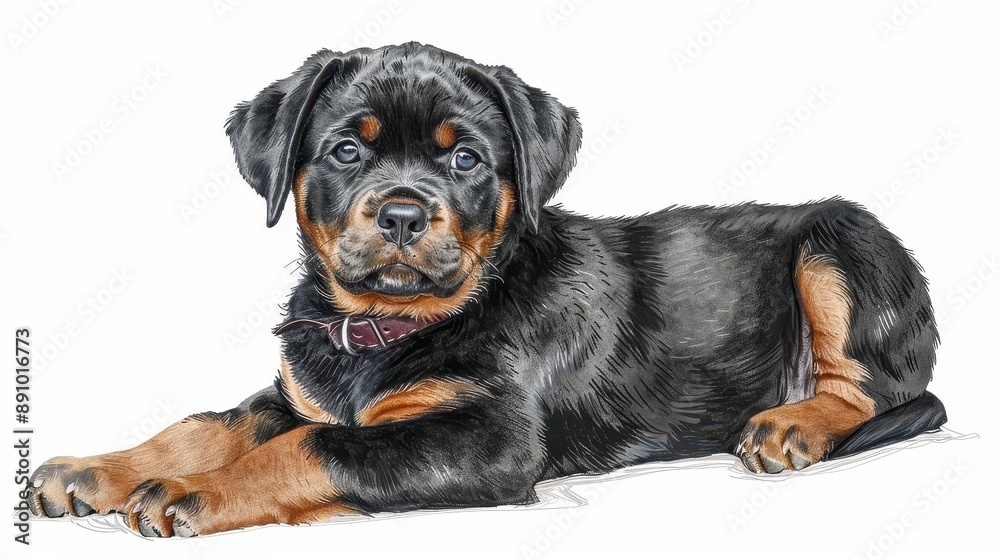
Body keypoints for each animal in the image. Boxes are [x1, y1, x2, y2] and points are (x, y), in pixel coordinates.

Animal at [26, 42, 946, 537]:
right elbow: (209, 424)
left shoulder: (488, 439)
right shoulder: (296, 390)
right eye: (346, 151)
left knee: (872, 387)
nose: (402, 214)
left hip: (839, 241)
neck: (386, 327)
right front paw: (96, 470)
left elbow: (314, 446)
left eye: (465, 157)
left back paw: (791, 424)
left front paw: (193, 493)